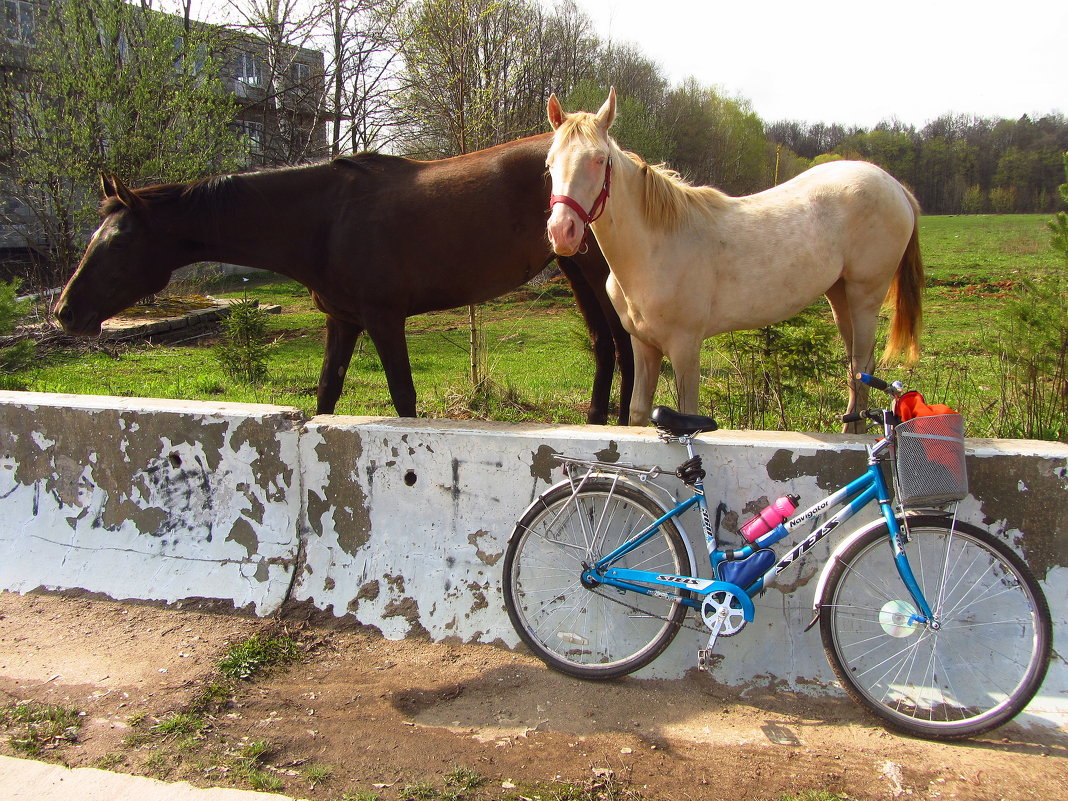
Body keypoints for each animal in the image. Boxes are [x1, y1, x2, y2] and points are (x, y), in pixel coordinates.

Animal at [54, 135, 627, 422]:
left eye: (118, 243)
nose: (65, 313)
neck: (325, 218)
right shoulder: (343, 321)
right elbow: (327, 394)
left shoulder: (384, 319)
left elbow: (403, 397)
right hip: (572, 266)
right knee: (604, 344)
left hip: (598, 271)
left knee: (625, 344)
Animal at [546, 89, 922, 433]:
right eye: (549, 163)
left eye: (598, 159)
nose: (562, 231)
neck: (654, 247)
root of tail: (894, 186)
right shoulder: (644, 346)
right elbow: (639, 412)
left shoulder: (685, 347)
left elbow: (688, 408)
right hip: (839, 295)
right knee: (857, 370)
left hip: (865, 295)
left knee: (862, 368)